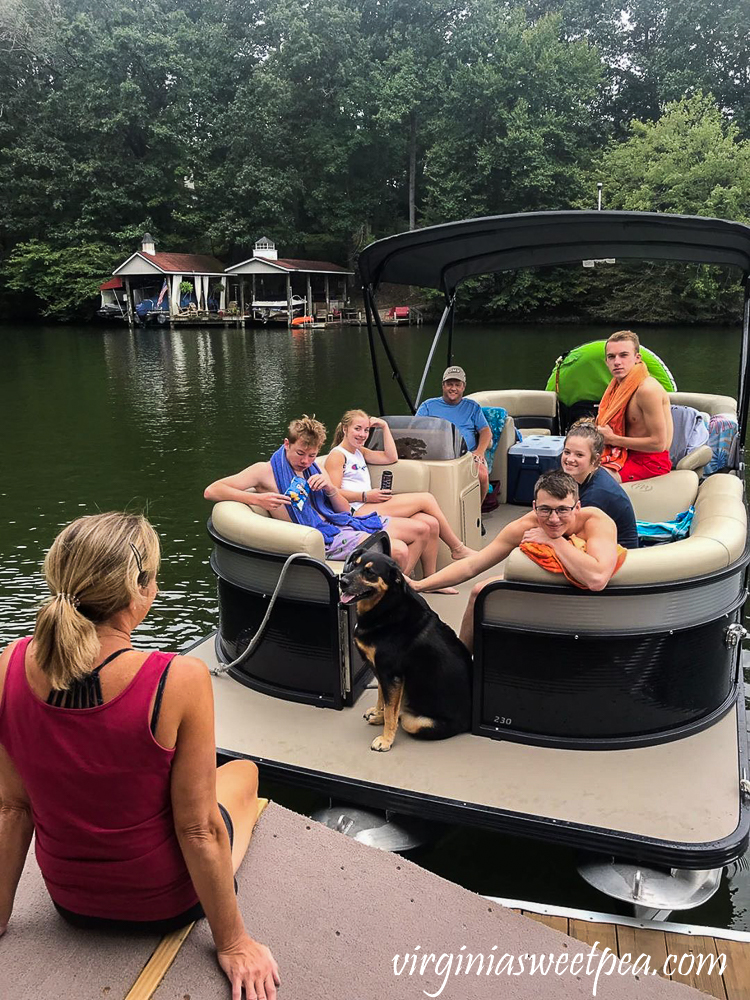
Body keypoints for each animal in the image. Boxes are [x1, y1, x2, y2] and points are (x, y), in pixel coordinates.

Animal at [342, 548, 472, 752]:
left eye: (370, 572)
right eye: (354, 565)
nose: (342, 582)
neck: (386, 608)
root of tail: (469, 723)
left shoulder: (391, 675)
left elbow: (390, 710)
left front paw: (386, 740)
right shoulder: (380, 672)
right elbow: (383, 698)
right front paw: (378, 714)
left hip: (416, 722)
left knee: (403, 717)